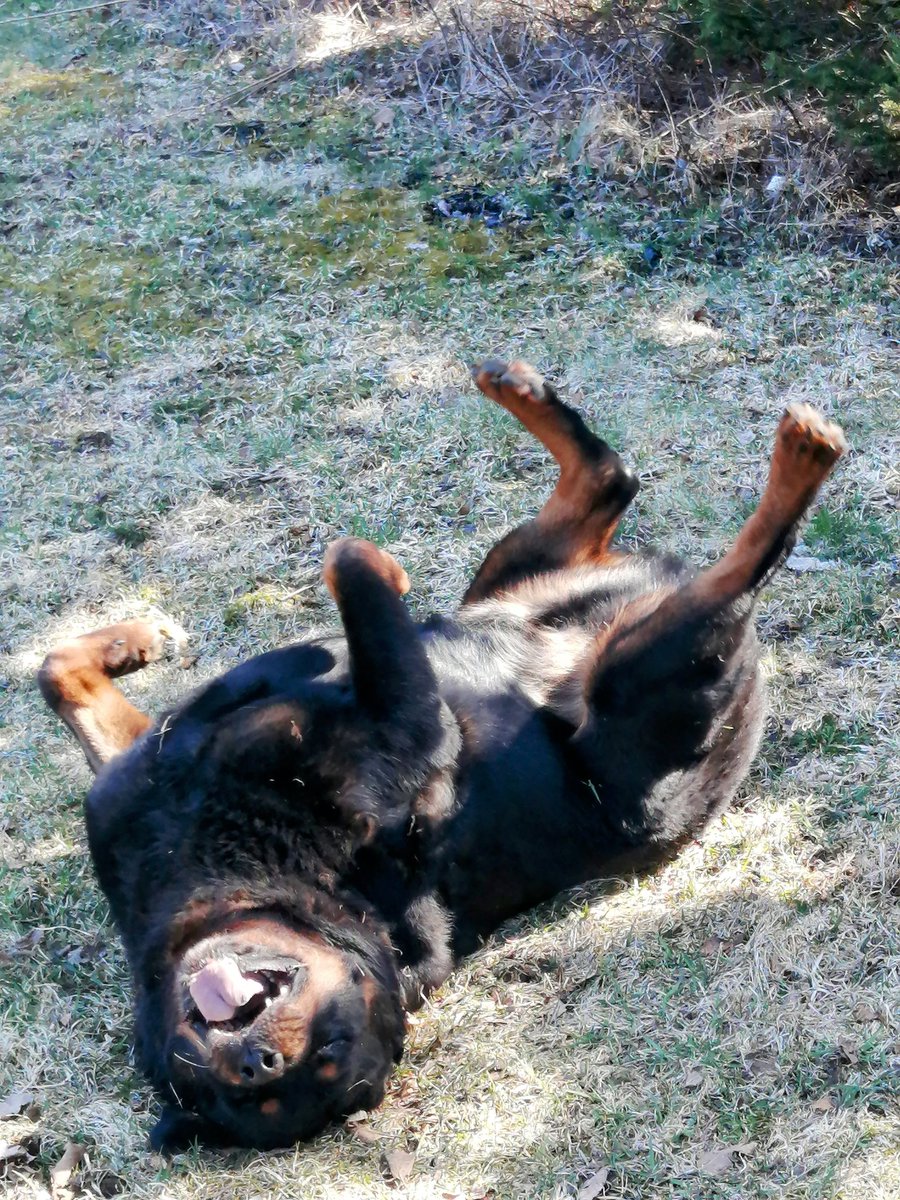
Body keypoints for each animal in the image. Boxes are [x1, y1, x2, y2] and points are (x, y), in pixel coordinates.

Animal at [38, 357, 849, 1152]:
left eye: (323, 1048)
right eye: (257, 1091)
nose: (258, 1058)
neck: (209, 874)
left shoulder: (133, 786)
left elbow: (63, 670)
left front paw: (136, 642)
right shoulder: (404, 726)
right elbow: (349, 573)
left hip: (520, 580)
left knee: (611, 484)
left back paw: (527, 392)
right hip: (636, 669)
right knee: (731, 565)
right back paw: (802, 457)